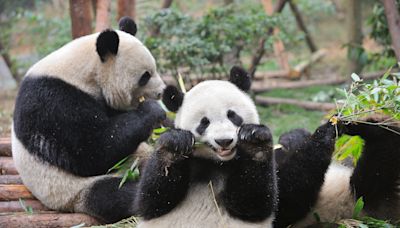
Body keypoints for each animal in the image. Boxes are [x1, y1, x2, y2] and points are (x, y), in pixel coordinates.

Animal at [12, 17, 166, 223]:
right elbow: (93, 150)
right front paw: (153, 110)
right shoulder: (53, 101)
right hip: (72, 191)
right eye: (145, 76)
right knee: (115, 194)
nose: (162, 91)